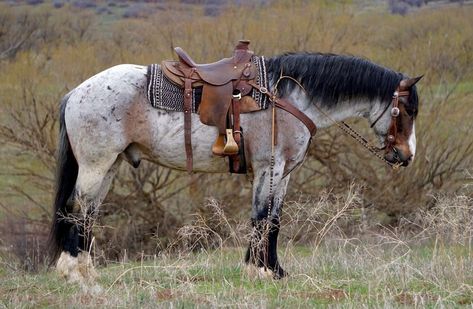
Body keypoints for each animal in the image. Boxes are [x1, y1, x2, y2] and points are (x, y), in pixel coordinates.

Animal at [48, 51, 420, 284]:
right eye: (407, 110)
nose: (406, 155)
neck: (287, 98)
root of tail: (76, 92)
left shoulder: (283, 174)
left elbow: (273, 222)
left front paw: (274, 271)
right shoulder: (269, 168)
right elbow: (261, 219)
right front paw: (258, 271)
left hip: (108, 167)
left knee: (89, 215)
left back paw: (87, 271)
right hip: (95, 166)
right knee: (76, 211)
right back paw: (73, 273)